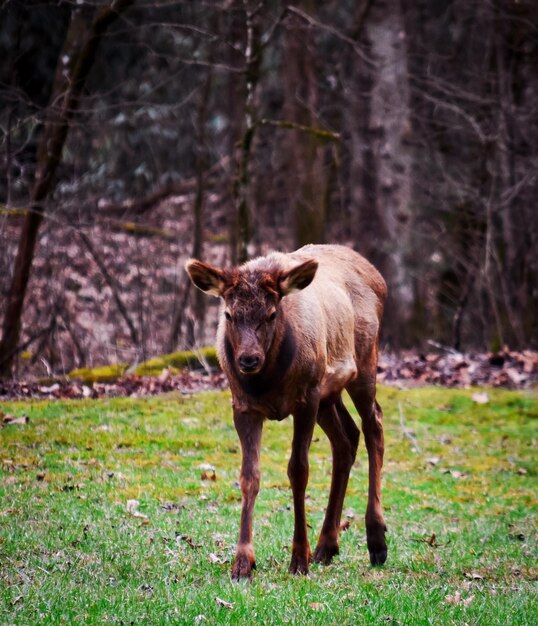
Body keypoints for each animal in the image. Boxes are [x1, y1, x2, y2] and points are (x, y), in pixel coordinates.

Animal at [185, 243, 386, 576]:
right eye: (228, 314)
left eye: (271, 314)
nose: (248, 359)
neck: (267, 381)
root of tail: (379, 277)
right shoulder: (243, 406)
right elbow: (249, 476)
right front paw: (243, 562)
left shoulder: (306, 399)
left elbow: (299, 471)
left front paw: (299, 559)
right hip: (328, 392)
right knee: (346, 439)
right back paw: (327, 545)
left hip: (364, 363)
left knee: (374, 426)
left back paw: (377, 541)